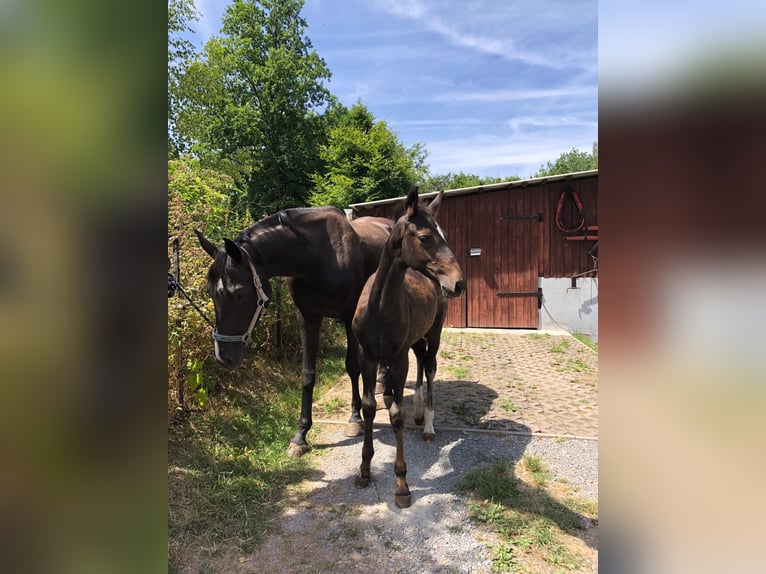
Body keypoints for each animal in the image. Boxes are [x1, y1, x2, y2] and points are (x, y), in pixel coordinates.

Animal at [195, 209, 392, 456]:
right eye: (210, 292)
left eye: (238, 293)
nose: (224, 357)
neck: (317, 256)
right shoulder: (307, 316)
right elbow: (307, 374)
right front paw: (300, 436)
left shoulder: (348, 317)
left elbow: (352, 366)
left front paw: (355, 419)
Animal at [352, 189, 464, 508]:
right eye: (425, 237)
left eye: (445, 234)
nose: (458, 283)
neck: (379, 309)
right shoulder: (368, 357)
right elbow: (369, 407)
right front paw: (364, 470)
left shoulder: (397, 359)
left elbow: (396, 416)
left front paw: (402, 485)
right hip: (416, 340)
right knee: (422, 362)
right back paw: (418, 413)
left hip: (434, 334)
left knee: (430, 367)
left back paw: (427, 425)